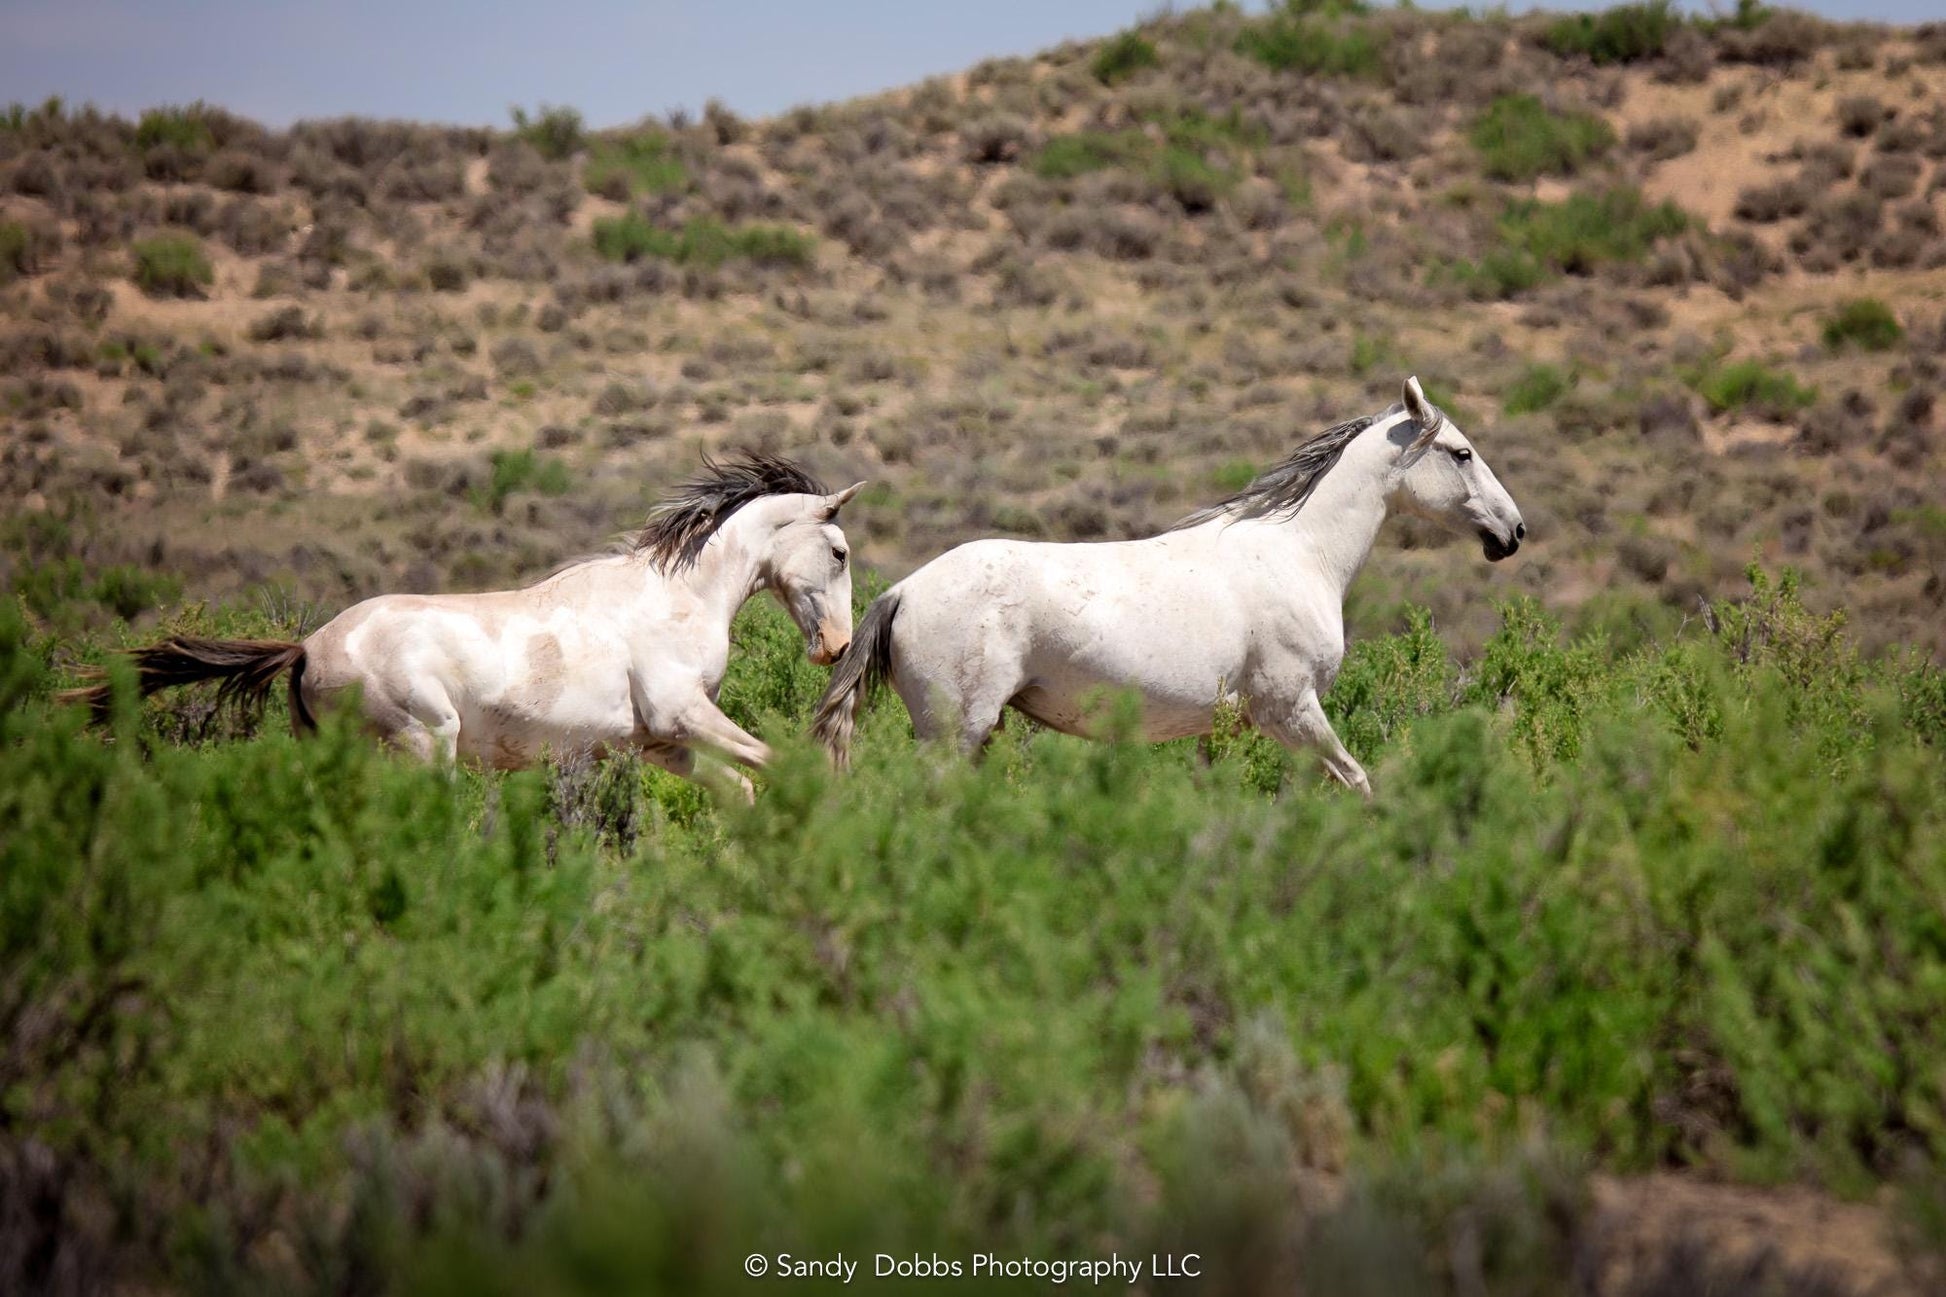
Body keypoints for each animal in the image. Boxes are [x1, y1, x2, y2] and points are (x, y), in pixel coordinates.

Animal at [68, 449, 864, 786]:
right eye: (839, 550)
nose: (837, 646)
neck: (680, 597)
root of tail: (307, 648)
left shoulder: (662, 744)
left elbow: (743, 787)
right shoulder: (683, 714)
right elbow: (776, 763)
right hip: (426, 741)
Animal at [813, 373, 1525, 794]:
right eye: (1461, 453)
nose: (1513, 531)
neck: (1299, 554)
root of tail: (904, 590)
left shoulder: (1228, 730)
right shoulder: (1291, 710)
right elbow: (1356, 781)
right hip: (956, 731)